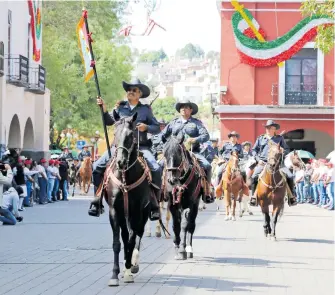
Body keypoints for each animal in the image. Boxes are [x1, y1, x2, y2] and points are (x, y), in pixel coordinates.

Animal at [102, 114, 163, 288]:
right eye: (115, 133)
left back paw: (132, 264)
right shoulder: (115, 211)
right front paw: (115, 274)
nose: (121, 162)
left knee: (137, 235)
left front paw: (129, 270)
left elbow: (131, 240)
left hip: (143, 214)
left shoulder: (137, 211)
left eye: (130, 136)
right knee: (125, 235)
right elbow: (117, 243)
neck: (125, 178)